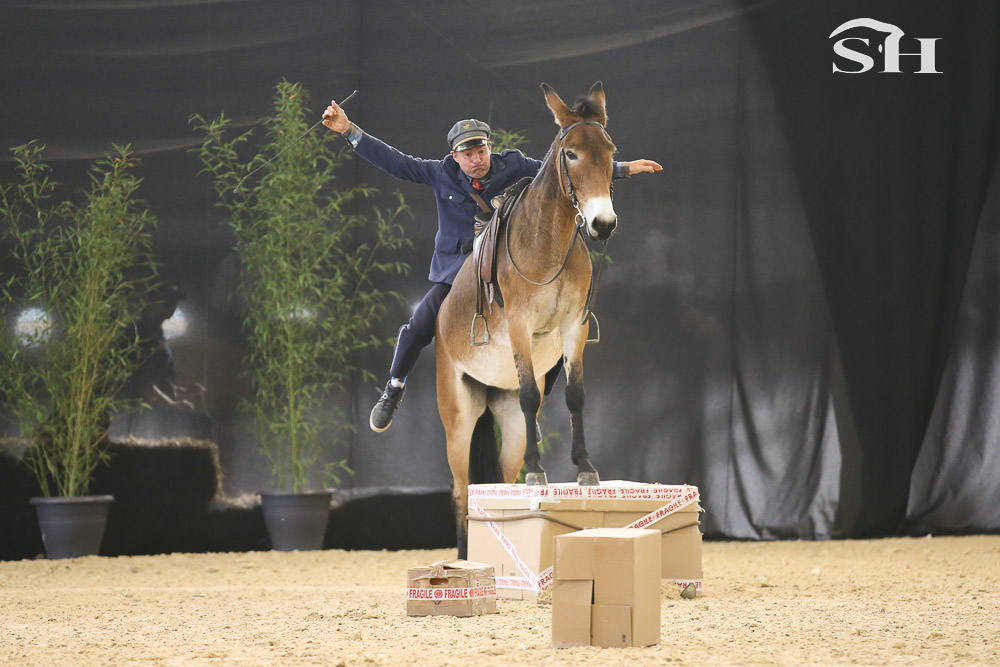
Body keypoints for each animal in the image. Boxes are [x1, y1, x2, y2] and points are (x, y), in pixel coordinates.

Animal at [434, 81, 618, 557]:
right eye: (571, 153)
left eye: (611, 150)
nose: (603, 223)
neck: (547, 243)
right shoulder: (519, 327)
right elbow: (532, 395)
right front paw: (539, 471)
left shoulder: (575, 326)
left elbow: (574, 395)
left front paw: (585, 467)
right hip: (458, 420)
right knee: (461, 491)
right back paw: (464, 558)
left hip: (509, 425)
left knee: (497, 480)